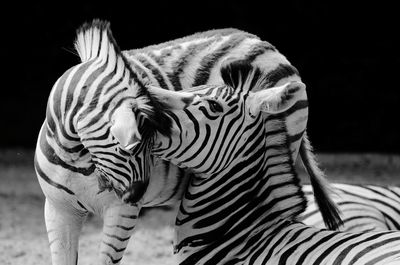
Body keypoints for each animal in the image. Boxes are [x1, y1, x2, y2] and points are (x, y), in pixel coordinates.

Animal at [34, 19, 340, 262]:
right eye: (134, 145)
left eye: (147, 144)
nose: (138, 196)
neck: (74, 152)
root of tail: (264, 43)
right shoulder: (58, 208)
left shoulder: (119, 212)